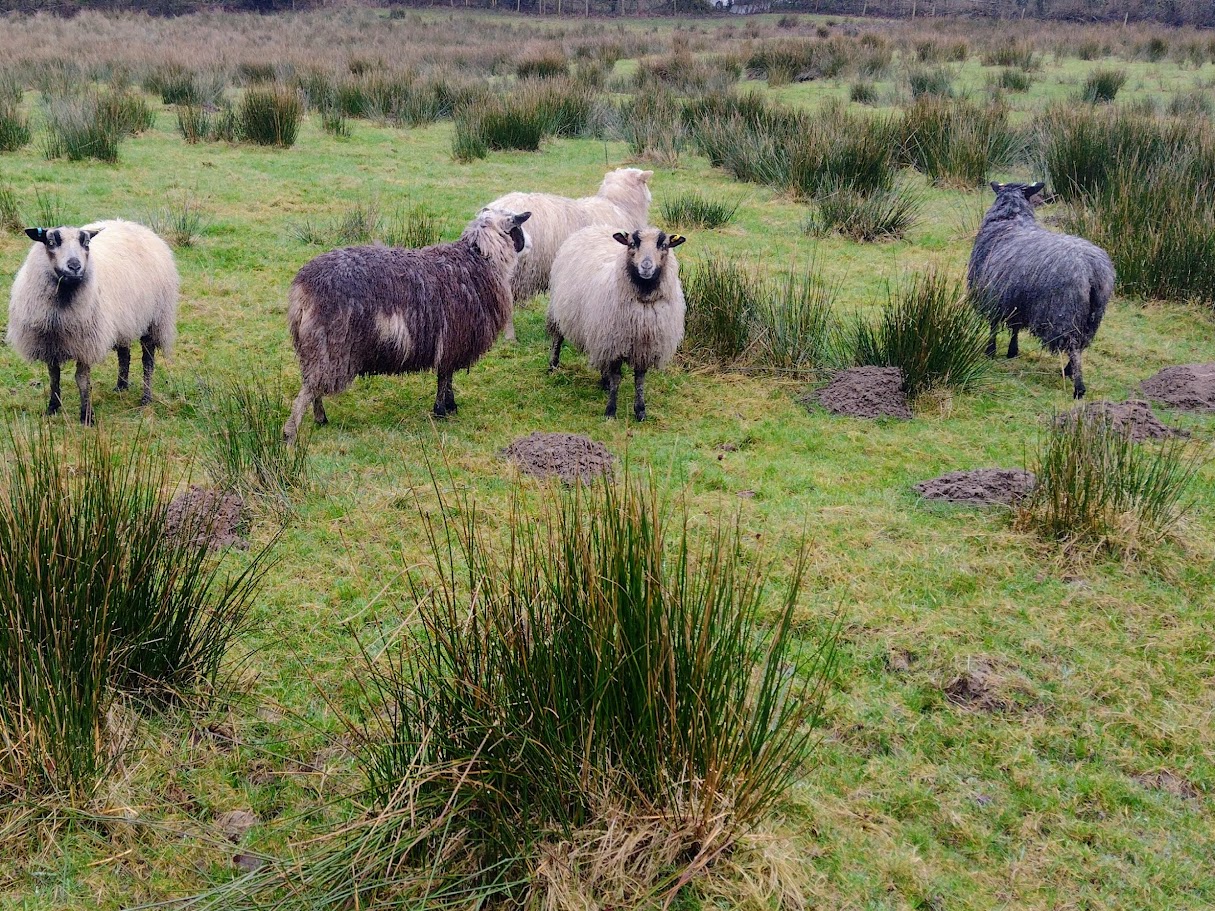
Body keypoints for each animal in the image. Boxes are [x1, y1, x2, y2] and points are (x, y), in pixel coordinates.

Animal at [6, 219, 179, 425]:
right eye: (51, 242)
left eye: (86, 243)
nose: (74, 266)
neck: (62, 305)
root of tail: (136, 226)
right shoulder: (49, 342)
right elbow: (53, 376)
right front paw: (52, 408)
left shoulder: (86, 343)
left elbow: (81, 379)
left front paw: (86, 416)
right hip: (124, 320)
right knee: (124, 354)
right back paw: (121, 386)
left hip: (154, 319)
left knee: (148, 361)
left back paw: (146, 397)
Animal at [282, 207, 531, 442]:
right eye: (518, 226)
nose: (529, 245)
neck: (480, 257)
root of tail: (303, 288)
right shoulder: (453, 339)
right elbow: (444, 376)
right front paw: (441, 410)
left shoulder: (450, 342)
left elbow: (447, 375)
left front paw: (450, 406)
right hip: (330, 345)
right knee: (309, 388)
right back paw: (291, 432)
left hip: (314, 346)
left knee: (313, 385)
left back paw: (319, 418)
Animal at [547, 226, 686, 422]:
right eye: (632, 244)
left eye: (664, 245)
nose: (646, 266)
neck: (643, 298)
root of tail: (595, 227)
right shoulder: (615, 343)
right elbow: (617, 378)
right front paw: (610, 411)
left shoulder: (644, 346)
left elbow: (639, 379)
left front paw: (640, 411)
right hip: (559, 309)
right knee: (557, 337)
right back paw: (552, 366)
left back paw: (603, 381)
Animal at [967, 181, 1114, 399]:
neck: (1011, 220)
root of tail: (1092, 270)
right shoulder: (1017, 298)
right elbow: (1015, 327)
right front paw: (1012, 351)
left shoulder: (994, 295)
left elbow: (994, 326)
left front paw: (990, 351)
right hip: (1092, 316)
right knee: (1082, 343)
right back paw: (1069, 371)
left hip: (1064, 311)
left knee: (1073, 346)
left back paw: (1078, 387)